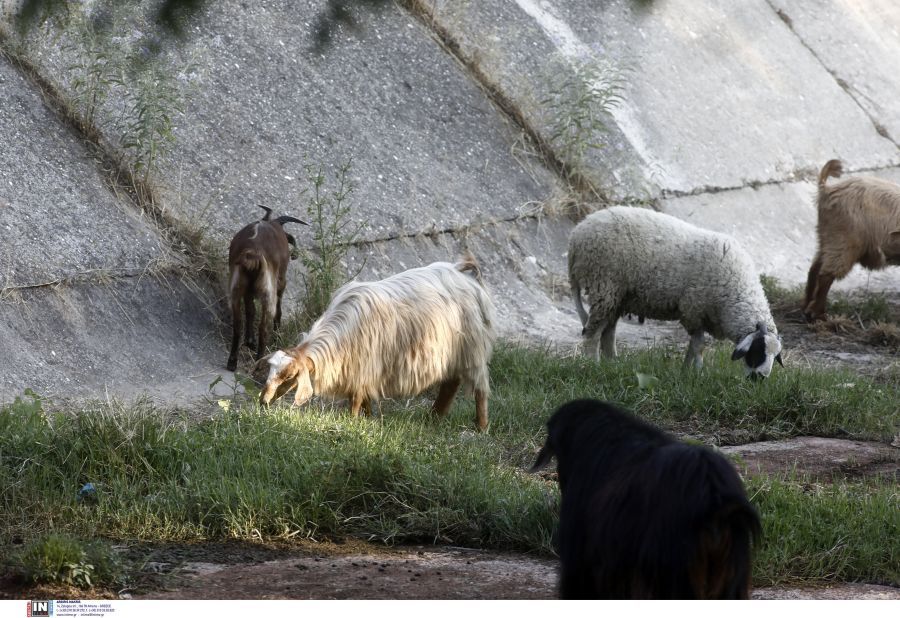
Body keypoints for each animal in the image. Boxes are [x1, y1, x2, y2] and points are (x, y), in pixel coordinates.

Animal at [227, 207, 308, 370]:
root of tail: (253, 254)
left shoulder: (247, 292)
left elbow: (250, 310)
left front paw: (250, 341)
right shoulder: (280, 282)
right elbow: (278, 312)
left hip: (237, 288)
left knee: (238, 323)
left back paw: (232, 361)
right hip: (268, 292)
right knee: (264, 326)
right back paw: (259, 362)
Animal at [260, 255, 496, 428]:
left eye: (289, 376)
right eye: (270, 370)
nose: (263, 401)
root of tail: (459, 271)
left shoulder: (364, 366)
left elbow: (356, 400)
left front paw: (352, 422)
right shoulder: (361, 371)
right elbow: (364, 399)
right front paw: (368, 418)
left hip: (472, 348)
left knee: (479, 389)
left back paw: (481, 427)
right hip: (454, 352)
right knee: (451, 383)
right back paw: (435, 417)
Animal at [572, 206, 784, 376]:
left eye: (774, 356)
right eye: (757, 351)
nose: (759, 379)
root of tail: (578, 231)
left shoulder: (700, 316)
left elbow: (693, 346)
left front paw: (686, 371)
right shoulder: (693, 310)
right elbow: (699, 345)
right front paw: (697, 373)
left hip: (616, 296)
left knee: (608, 332)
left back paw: (612, 365)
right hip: (604, 285)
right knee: (592, 333)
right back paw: (593, 365)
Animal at [804, 159, 900, 320]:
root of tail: (827, 190)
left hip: (827, 237)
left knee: (815, 268)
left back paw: (806, 305)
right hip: (844, 240)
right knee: (826, 274)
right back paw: (817, 313)